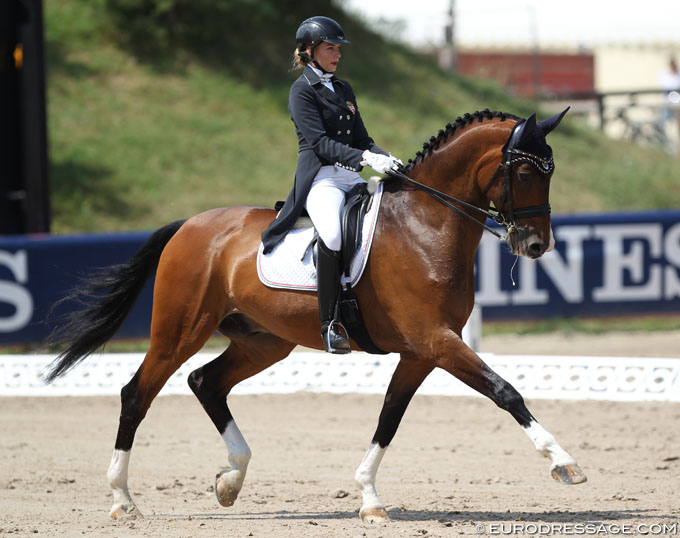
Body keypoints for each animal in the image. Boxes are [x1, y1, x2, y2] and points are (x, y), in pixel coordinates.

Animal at [45, 108, 586, 523]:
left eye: (552, 170)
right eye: (524, 173)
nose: (536, 245)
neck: (426, 225)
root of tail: (190, 225)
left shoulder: (422, 351)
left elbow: (389, 416)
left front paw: (369, 499)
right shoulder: (436, 340)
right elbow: (505, 391)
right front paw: (564, 463)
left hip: (263, 341)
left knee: (205, 382)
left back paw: (230, 480)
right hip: (179, 331)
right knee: (137, 394)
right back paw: (123, 501)